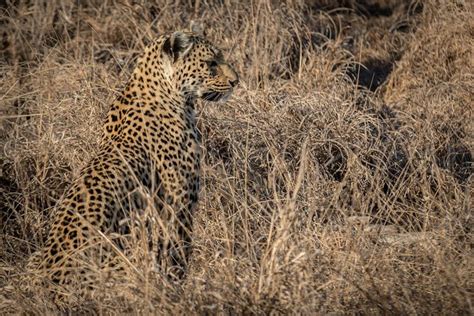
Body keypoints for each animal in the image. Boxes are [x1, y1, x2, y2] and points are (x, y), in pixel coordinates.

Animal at [25, 24, 239, 306]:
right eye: (211, 63)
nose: (236, 81)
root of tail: (49, 288)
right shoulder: (179, 203)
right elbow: (179, 252)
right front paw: (180, 289)